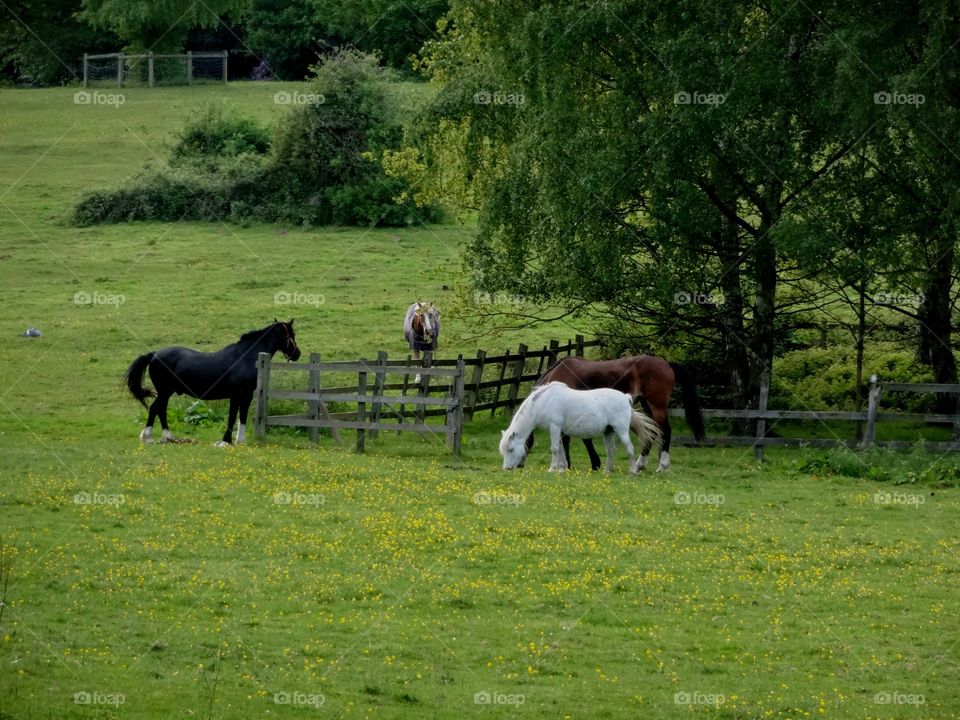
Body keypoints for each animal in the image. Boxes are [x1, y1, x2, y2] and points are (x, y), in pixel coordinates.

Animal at [124, 319, 301, 446]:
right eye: (291, 335)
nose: (297, 354)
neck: (246, 356)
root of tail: (154, 354)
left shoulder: (247, 395)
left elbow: (241, 416)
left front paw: (240, 441)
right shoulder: (237, 395)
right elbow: (233, 416)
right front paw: (226, 441)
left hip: (167, 392)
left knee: (161, 410)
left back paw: (168, 438)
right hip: (165, 391)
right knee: (155, 408)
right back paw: (148, 438)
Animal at [500, 382, 661, 473]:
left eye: (511, 449)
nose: (506, 469)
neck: (543, 402)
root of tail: (625, 397)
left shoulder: (554, 427)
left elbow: (555, 449)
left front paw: (552, 468)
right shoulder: (559, 430)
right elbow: (562, 449)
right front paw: (562, 468)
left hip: (621, 431)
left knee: (629, 448)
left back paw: (633, 470)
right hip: (608, 432)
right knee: (611, 450)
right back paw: (607, 471)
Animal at [528, 355, 706, 472]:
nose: (521, 465)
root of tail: (666, 363)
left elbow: (580, 439)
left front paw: (592, 463)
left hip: (657, 406)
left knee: (665, 431)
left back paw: (662, 465)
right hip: (646, 404)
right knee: (652, 432)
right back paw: (640, 464)